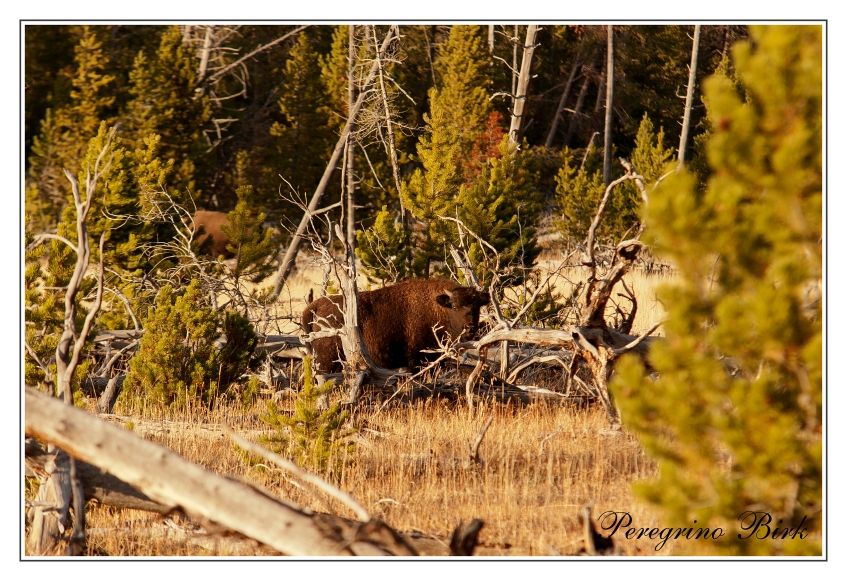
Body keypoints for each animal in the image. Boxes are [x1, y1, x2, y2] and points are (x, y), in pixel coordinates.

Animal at [304, 278, 490, 372]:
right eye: (456, 307)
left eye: (477, 307)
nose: (470, 328)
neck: (440, 308)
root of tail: (315, 306)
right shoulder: (418, 360)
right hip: (327, 360)